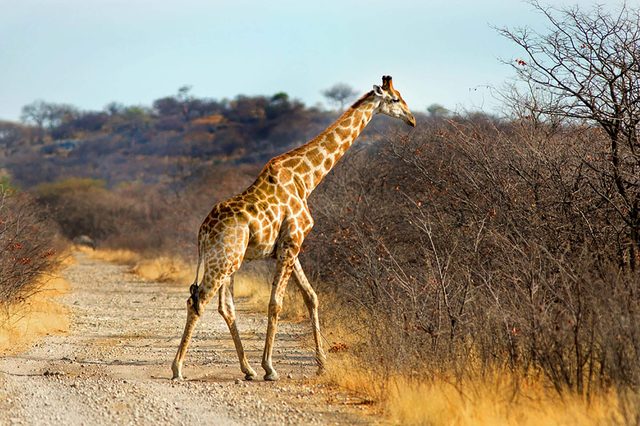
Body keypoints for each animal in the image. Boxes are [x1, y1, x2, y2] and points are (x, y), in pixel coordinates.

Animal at [172, 75, 416, 381]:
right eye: (395, 99)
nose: (412, 119)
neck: (305, 179)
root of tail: (202, 232)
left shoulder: (290, 247)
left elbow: (311, 296)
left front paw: (322, 363)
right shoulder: (292, 243)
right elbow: (276, 302)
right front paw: (270, 367)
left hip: (229, 261)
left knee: (224, 307)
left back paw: (247, 369)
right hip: (224, 260)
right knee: (197, 301)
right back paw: (178, 368)